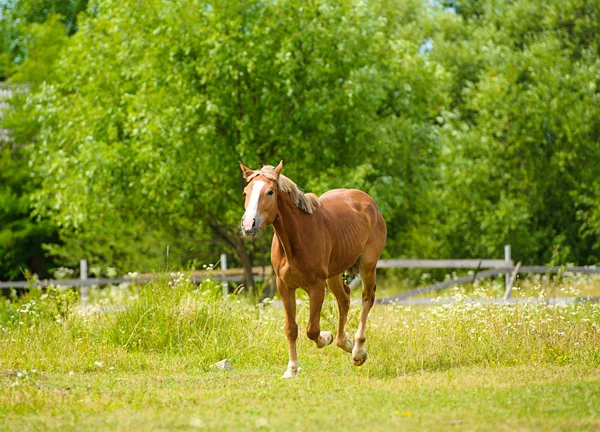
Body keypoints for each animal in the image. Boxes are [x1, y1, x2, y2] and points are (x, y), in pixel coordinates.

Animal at [240, 160, 386, 376]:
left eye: (270, 192)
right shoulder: (284, 286)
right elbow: (291, 328)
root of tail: (368, 202)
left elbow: (312, 329)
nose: (249, 226)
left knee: (367, 298)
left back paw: (358, 351)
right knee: (344, 298)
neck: (296, 239)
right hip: (333, 274)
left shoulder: (316, 287)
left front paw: (326, 338)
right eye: (246, 192)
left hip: (368, 266)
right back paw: (346, 343)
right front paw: (291, 369)